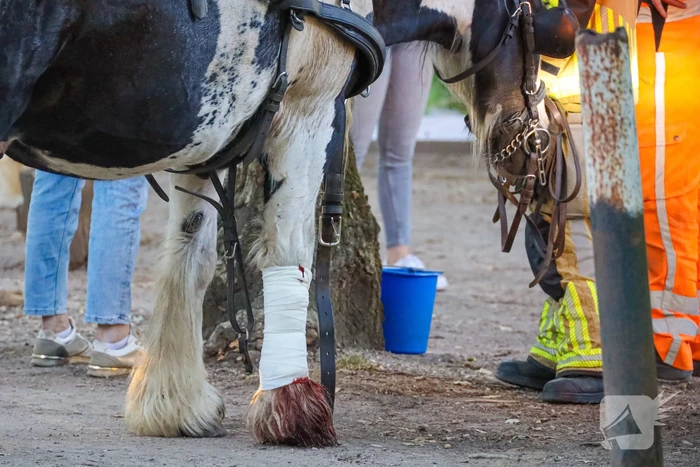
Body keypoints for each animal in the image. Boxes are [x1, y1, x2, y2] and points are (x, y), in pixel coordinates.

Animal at [0, 0, 581, 448]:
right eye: (550, 28)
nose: (538, 142)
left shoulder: (202, 139)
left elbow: (190, 259)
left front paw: (174, 403)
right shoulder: (307, 109)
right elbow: (289, 255)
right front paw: (292, 406)